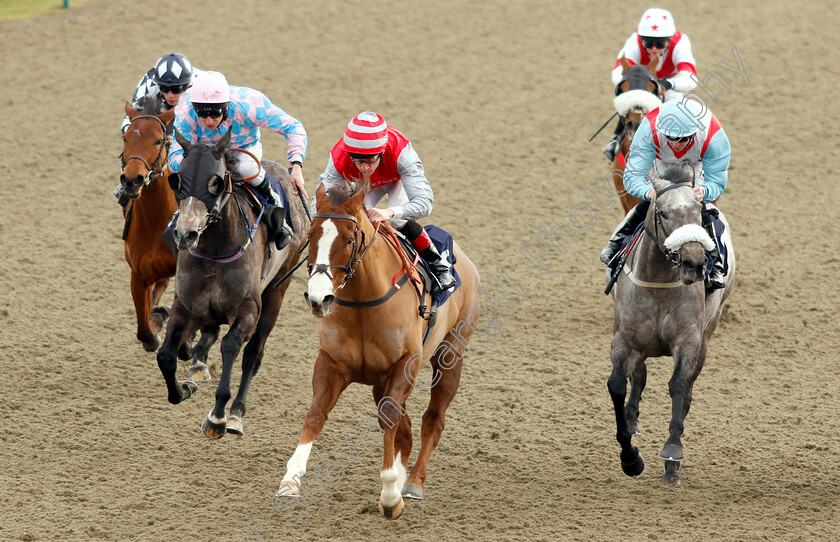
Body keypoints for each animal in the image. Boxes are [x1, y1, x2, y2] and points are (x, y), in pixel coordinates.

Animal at [154, 130, 308, 440]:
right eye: (179, 180)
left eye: (214, 181)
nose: (186, 234)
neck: (214, 251)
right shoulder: (186, 306)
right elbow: (165, 355)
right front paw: (184, 389)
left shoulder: (248, 309)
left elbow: (232, 346)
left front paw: (217, 417)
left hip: (277, 289)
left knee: (253, 354)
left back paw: (236, 413)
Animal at [278, 184, 480, 524]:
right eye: (311, 235)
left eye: (349, 239)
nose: (318, 298)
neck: (363, 302)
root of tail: (465, 260)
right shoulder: (332, 363)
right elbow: (316, 415)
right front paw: (290, 480)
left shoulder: (405, 364)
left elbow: (389, 418)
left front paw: (389, 496)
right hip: (379, 381)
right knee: (405, 429)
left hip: (451, 353)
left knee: (432, 420)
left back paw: (412, 483)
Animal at [604, 166, 736, 488]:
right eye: (662, 212)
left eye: (698, 212)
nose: (695, 263)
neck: (659, 282)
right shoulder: (625, 339)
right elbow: (618, 384)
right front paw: (630, 459)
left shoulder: (688, 341)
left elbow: (678, 386)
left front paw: (672, 454)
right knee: (638, 377)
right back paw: (632, 419)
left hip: (707, 337)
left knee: (686, 390)